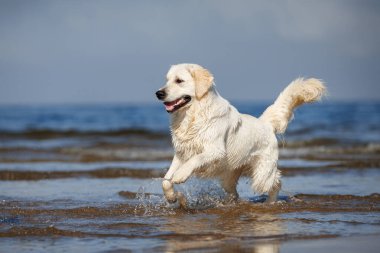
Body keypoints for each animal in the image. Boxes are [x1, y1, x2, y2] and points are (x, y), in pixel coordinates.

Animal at [155, 63, 326, 206]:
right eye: (167, 80)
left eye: (179, 80)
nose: (158, 93)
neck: (192, 116)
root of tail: (265, 123)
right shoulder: (181, 153)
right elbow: (165, 181)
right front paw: (172, 197)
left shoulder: (215, 150)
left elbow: (196, 159)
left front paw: (180, 175)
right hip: (229, 176)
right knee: (235, 193)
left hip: (262, 174)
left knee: (276, 182)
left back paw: (270, 203)